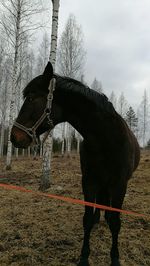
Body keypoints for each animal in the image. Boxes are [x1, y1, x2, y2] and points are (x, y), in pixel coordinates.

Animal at [10, 61, 141, 264]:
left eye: (31, 97)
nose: (14, 136)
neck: (105, 138)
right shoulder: (88, 181)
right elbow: (86, 219)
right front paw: (84, 258)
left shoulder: (120, 184)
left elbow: (116, 223)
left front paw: (115, 258)